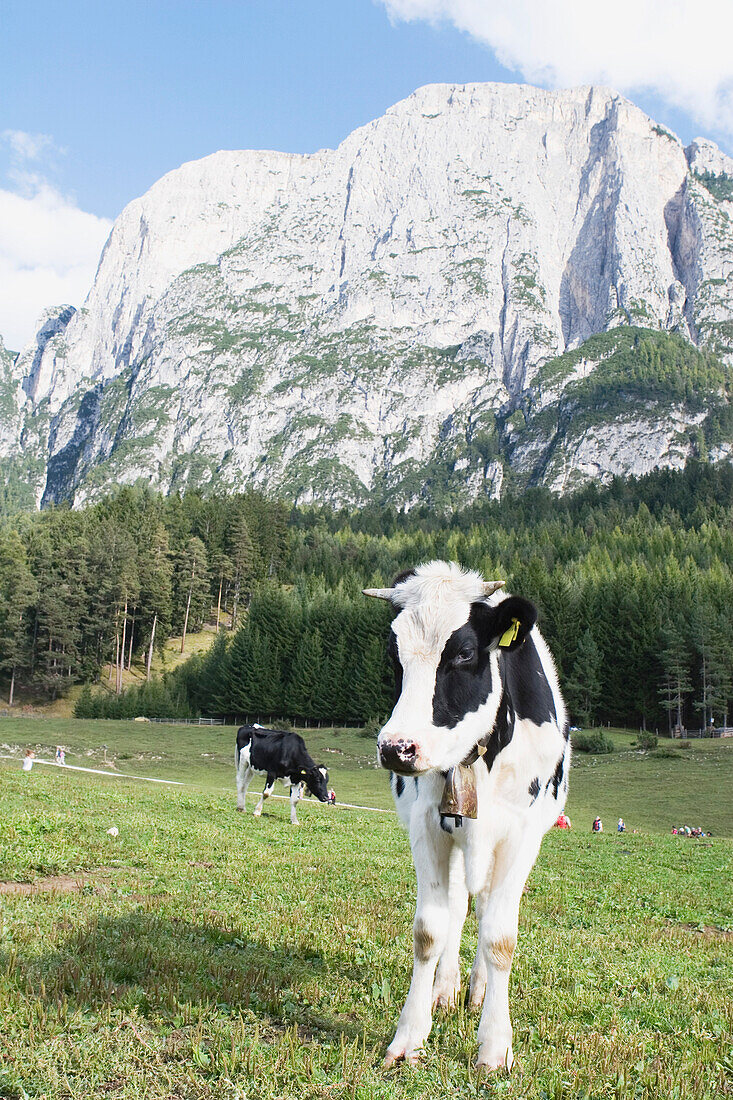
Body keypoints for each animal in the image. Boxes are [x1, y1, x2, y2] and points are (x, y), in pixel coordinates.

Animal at [363, 563, 567, 1069]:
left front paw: (494, 1045)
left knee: (487, 907)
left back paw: (478, 989)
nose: (397, 749)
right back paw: (447, 989)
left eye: (464, 653)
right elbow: (429, 930)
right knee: (458, 908)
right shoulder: (427, 826)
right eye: (395, 657)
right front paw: (409, 1036)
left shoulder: (521, 835)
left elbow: (500, 937)